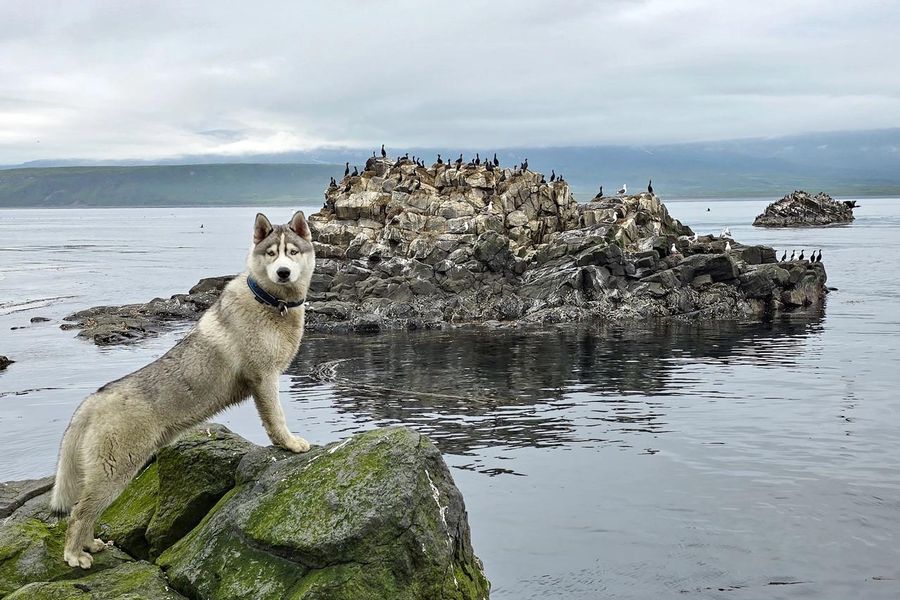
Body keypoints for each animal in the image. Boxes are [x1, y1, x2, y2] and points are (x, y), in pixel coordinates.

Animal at [51, 213, 316, 568]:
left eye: (292, 252)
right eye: (271, 254)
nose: (283, 272)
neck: (271, 303)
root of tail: (95, 399)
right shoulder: (264, 378)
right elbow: (276, 419)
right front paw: (289, 443)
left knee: (88, 513)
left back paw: (90, 545)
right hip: (115, 471)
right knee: (79, 513)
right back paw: (73, 554)